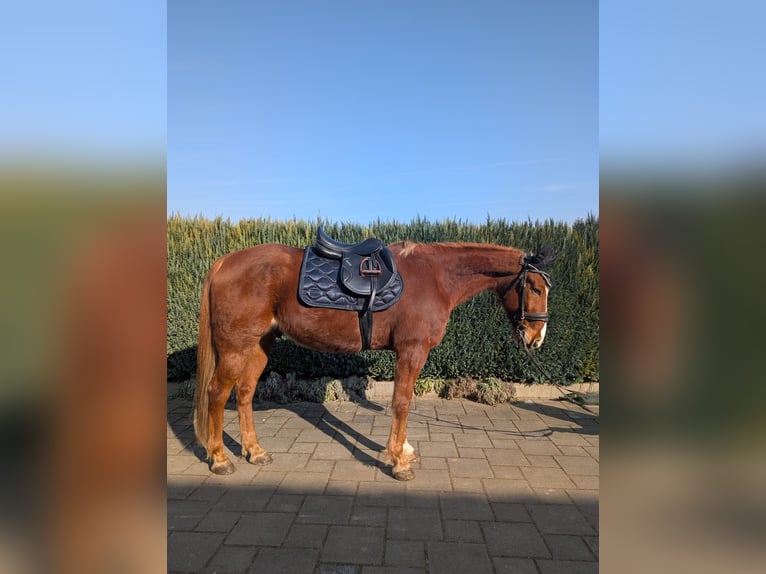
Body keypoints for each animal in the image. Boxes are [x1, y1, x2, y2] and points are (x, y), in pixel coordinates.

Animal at [191, 238, 552, 482]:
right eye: (535, 288)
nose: (536, 338)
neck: (435, 277)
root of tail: (225, 262)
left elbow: (402, 401)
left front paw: (403, 451)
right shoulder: (412, 350)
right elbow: (402, 402)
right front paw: (399, 461)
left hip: (259, 345)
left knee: (245, 393)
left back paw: (255, 452)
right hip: (235, 348)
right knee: (217, 394)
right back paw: (220, 458)